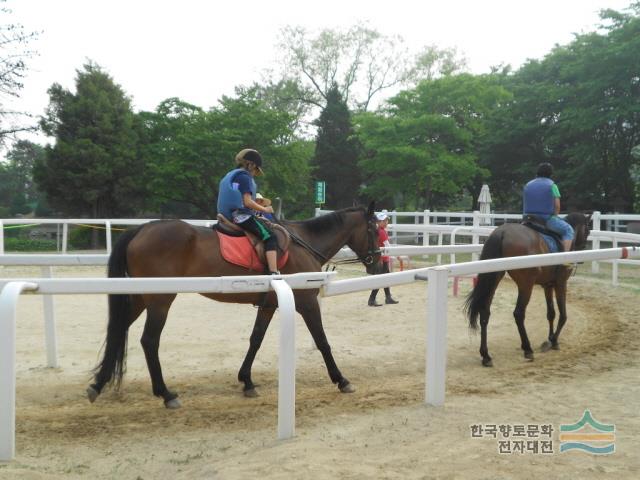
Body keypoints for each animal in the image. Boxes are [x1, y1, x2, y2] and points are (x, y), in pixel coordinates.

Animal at [89, 203, 380, 408]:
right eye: (376, 230)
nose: (377, 262)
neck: (303, 242)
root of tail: (142, 229)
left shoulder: (268, 305)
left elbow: (256, 339)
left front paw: (247, 381)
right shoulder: (307, 303)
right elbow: (322, 341)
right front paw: (341, 379)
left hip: (140, 298)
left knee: (117, 331)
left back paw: (98, 384)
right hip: (160, 301)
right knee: (149, 341)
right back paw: (166, 393)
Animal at [462, 212, 592, 366]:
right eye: (588, 231)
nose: (582, 254)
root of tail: (502, 232)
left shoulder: (548, 285)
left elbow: (551, 313)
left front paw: (550, 338)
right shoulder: (561, 283)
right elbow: (563, 315)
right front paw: (553, 341)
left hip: (494, 279)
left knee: (485, 313)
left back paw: (486, 355)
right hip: (526, 284)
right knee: (518, 313)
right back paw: (527, 349)